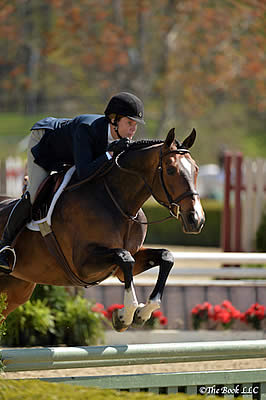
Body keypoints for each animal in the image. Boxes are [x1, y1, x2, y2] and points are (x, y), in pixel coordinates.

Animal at [0, 128, 206, 332]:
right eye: (170, 170)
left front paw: (141, 313)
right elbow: (124, 257)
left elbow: (165, 256)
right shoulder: (82, 265)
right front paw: (124, 316)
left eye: (196, 169)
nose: (196, 220)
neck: (118, 202)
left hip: (16, 290)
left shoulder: (124, 266)